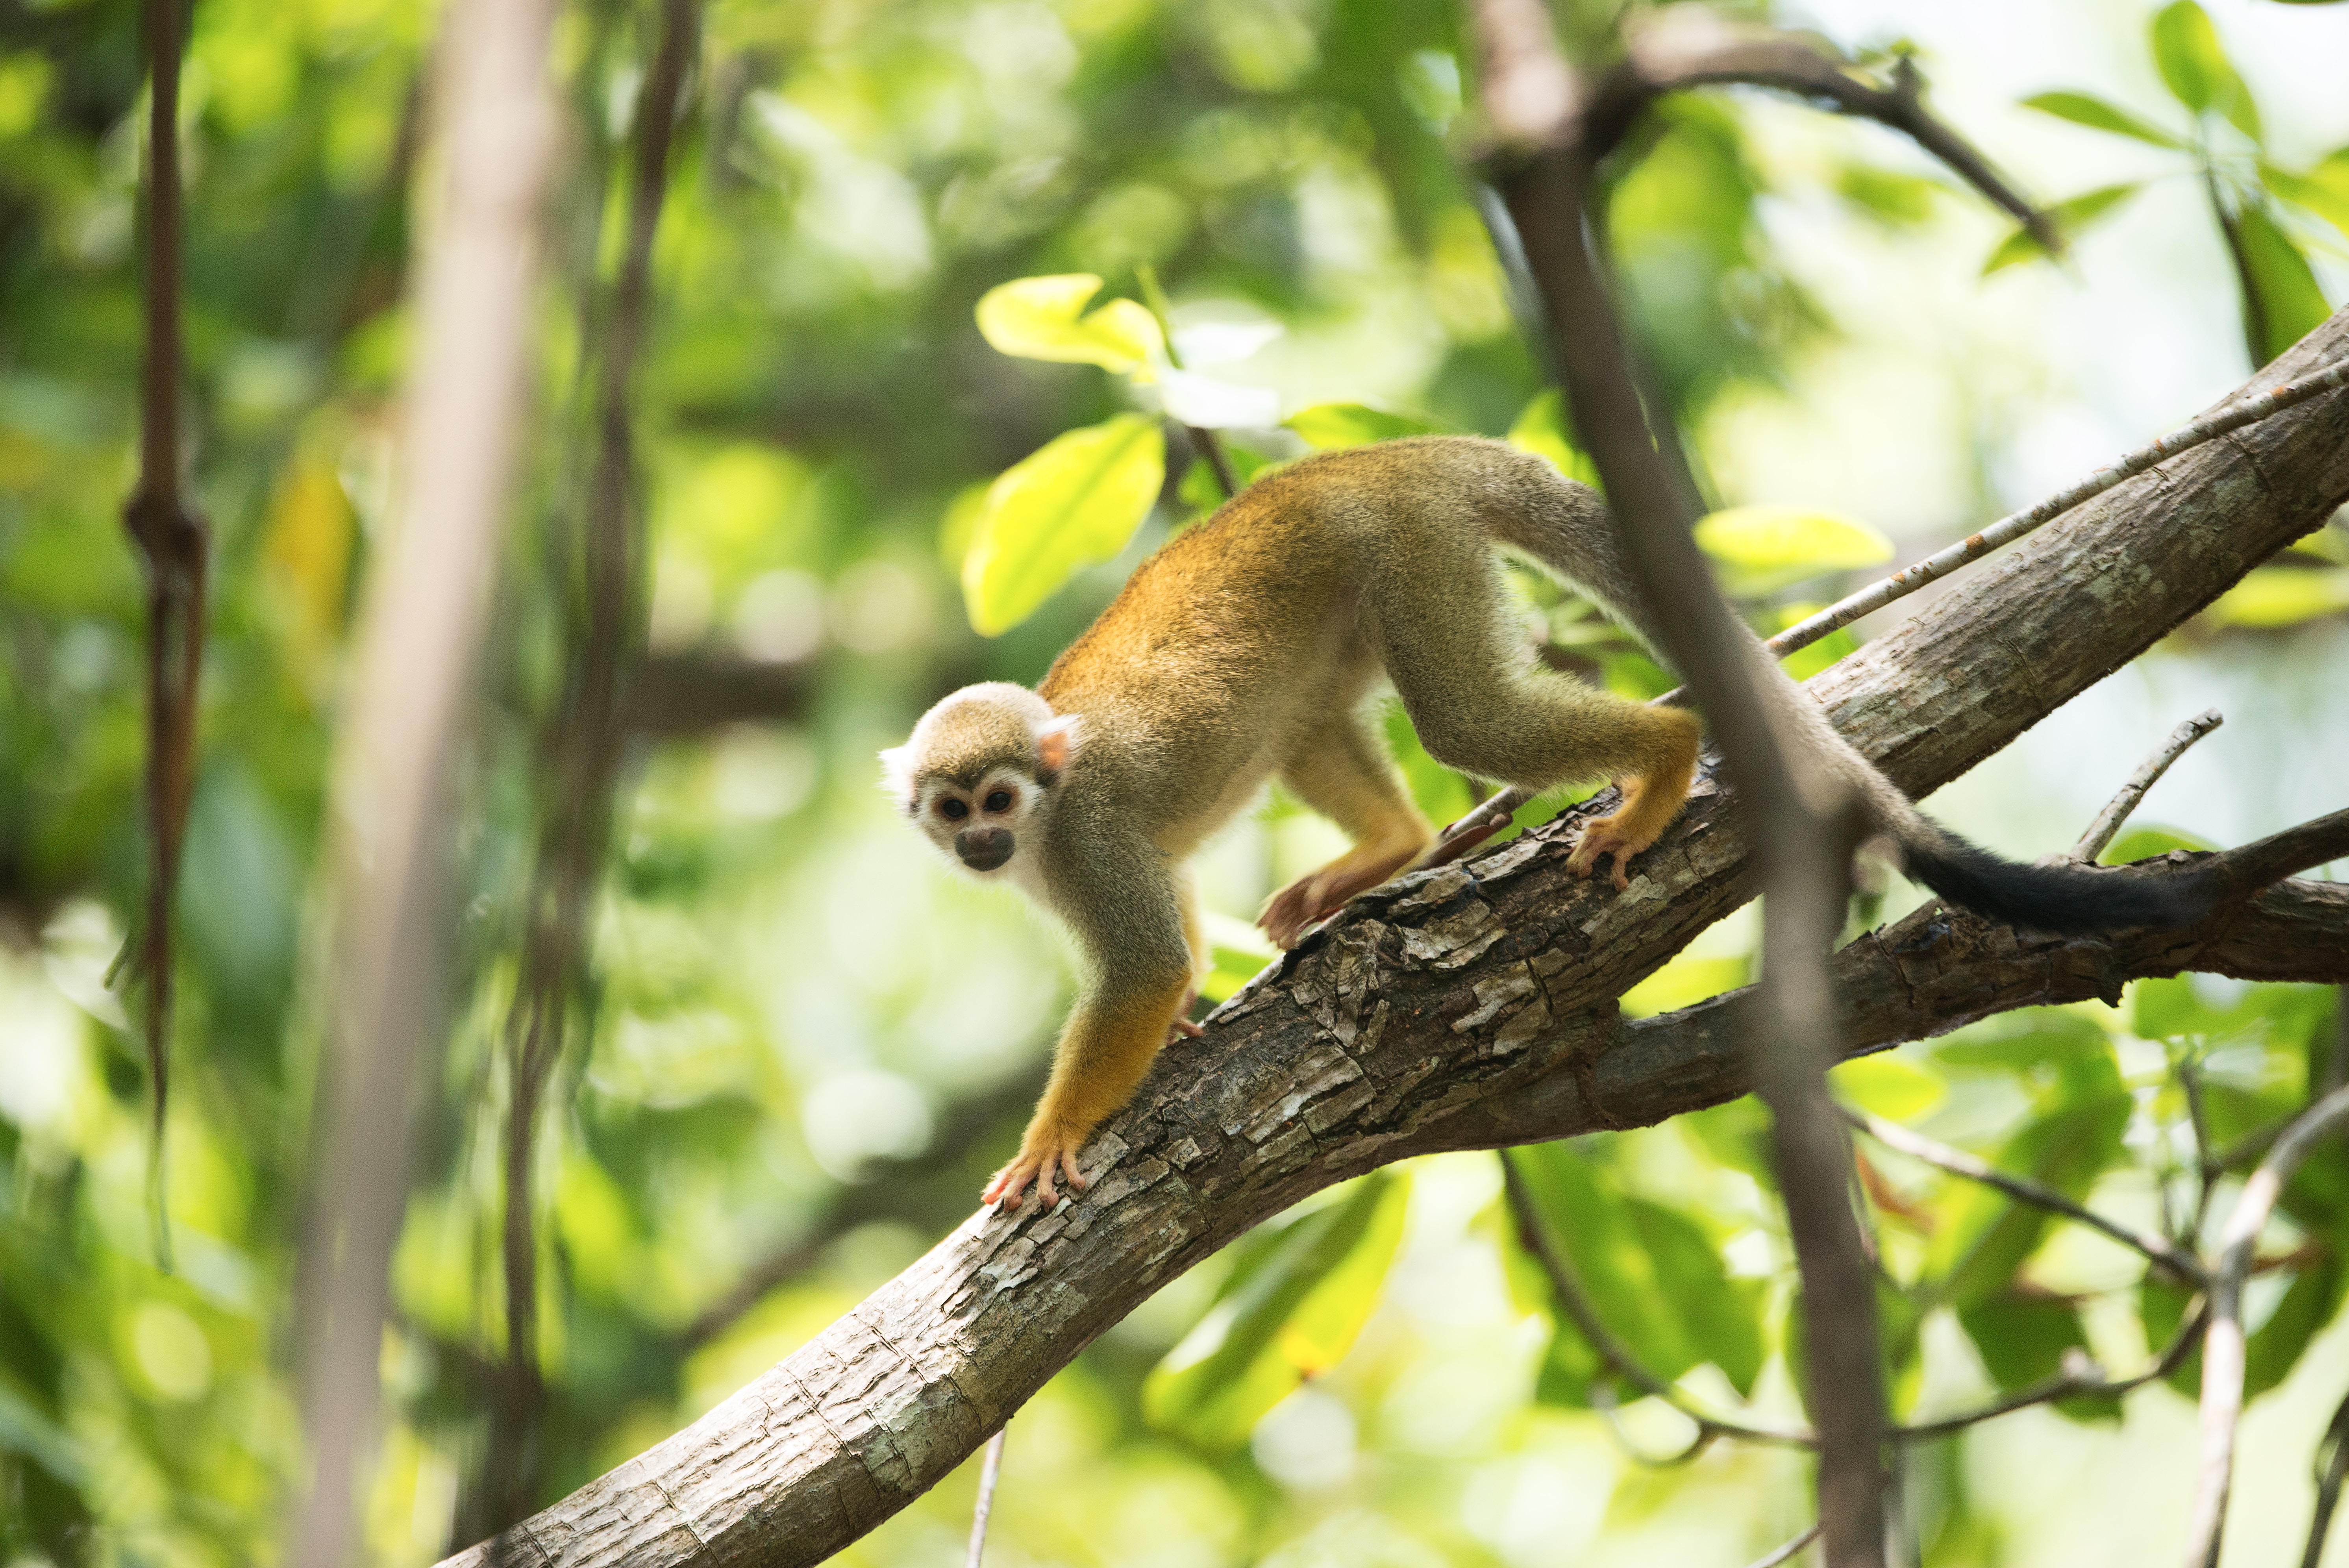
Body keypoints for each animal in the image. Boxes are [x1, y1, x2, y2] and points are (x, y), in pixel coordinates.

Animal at [888, 434, 2208, 1211]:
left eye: (998, 799)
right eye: (952, 810)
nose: (978, 842)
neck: (1046, 824)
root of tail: (1368, 455)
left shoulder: (1087, 835)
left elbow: (1146, 966)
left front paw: (1055, 1133)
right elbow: (1172, 943)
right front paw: (1175, 1034)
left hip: (1410, 546)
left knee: (1465, 718)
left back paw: (1662, 764)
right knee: (1317, 717)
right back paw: (1392, 850)